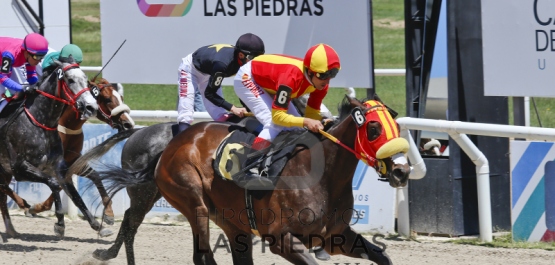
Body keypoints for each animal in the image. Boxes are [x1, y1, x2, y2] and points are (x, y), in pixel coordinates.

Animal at [1, 77, 134, 236]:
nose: (128, 124)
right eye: (107, 99)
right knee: (4, 187)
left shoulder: (72, 162)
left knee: (3, 188)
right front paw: (39, 208)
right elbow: (59, 186)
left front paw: (108, 214)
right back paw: (24, 207)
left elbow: (94, 176)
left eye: (121, 97)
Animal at [69, 96, 410, 262]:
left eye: (396, 126)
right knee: (195, 251)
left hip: (232, 222)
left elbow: (382, 257)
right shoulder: (282, 239)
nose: (402, 170)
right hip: (190, 201)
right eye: (374, 129)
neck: (321, 177)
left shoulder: (334, 237)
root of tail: (172, 143)